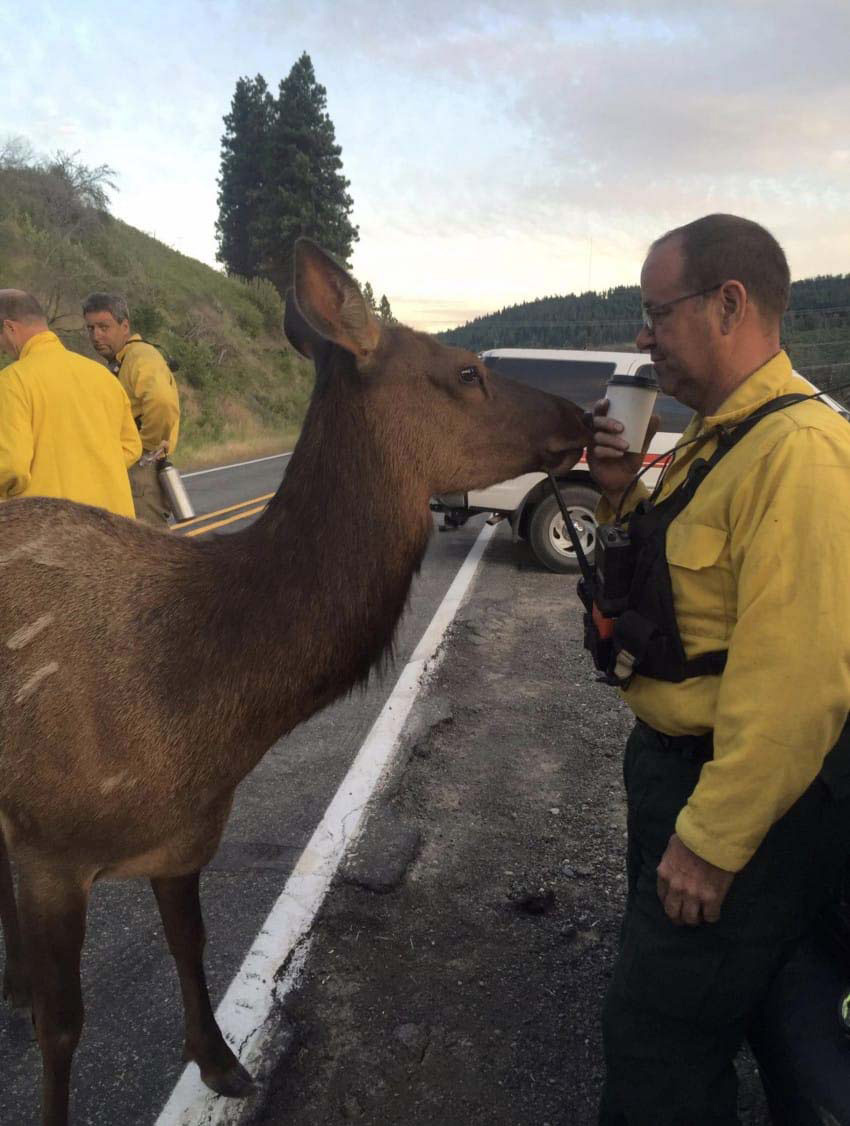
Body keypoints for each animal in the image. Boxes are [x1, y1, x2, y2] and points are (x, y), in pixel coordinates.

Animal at [0, 235, 589, 1116]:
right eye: (464, 370)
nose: (585, 416)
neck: (201, 711)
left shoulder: (184, 835)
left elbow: (191, 945)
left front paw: (221, 1064)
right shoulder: (50, 846)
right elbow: (63, 1028)